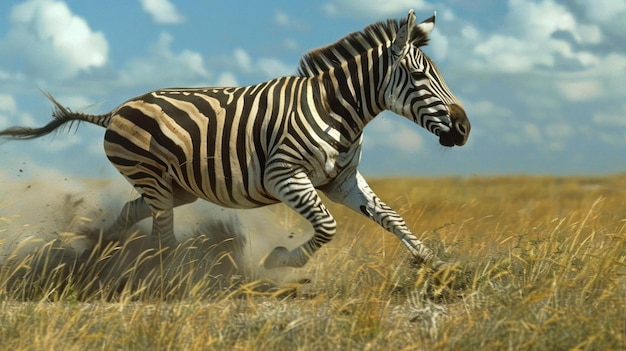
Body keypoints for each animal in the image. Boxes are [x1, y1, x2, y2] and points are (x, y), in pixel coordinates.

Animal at [0, 10, 468, 270]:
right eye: (420, 76)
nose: (464, 129)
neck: (337, 110)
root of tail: (115, 111)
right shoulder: (284, 174)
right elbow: (327, 226)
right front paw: (279, 260)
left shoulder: (341, 180)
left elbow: (392, 218)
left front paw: (436, 265)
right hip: (154, 177)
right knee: (162, 235)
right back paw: (168, 278)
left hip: (177, 187)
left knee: (134, 213)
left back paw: (91, 247)